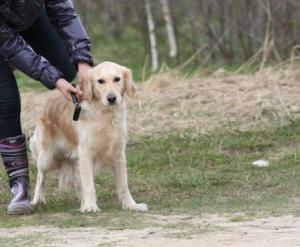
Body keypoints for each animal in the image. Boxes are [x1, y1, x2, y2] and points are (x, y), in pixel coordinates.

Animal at [29, 61, 148, 212]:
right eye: (100, 81)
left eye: (117, 79)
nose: (111, 98)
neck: (105, 114)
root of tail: (48, 101)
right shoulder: (86, 153)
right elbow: (89, 184)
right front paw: (91, 206)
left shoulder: (118, 153)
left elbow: (123, 184)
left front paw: (131, 205)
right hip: (47, 158)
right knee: (40, 176)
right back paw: (37, 199)